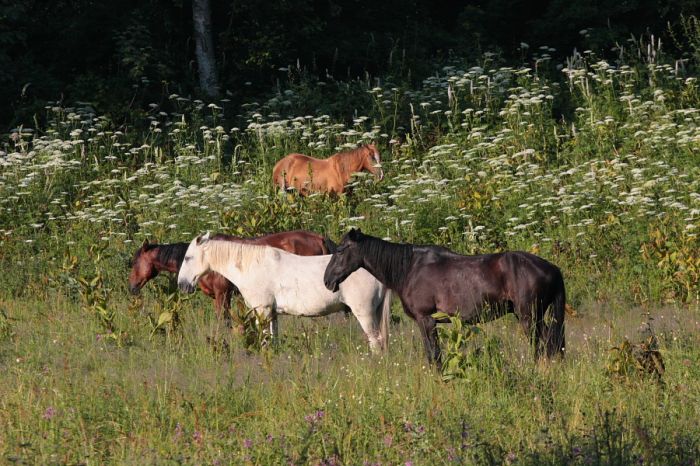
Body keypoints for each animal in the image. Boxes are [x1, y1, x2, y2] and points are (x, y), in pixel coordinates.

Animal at [178, 233, 392, 354]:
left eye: (188, 258)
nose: (182, 285)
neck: (252, 266)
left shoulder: (262, 310)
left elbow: (265, 341)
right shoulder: (272, 313)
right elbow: (273, 340)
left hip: (364, 313)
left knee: (376, 343)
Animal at [326, 229, 568, 368]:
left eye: (340, 250)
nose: (327, 280)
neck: (410, 268)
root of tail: (553, 269)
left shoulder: (426, 320)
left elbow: (434, 355)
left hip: (529, 317)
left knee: (543, 345)